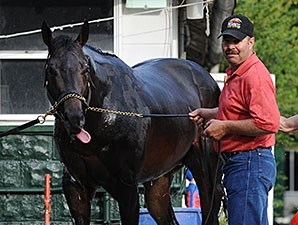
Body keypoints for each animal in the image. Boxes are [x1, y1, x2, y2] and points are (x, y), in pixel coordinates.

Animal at [40, 21, 222, 225]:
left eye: (85, 69)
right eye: (51, 69)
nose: (74, 117)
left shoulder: (127, 188)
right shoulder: (76, 187)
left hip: (205, 170)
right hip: (158, 184)